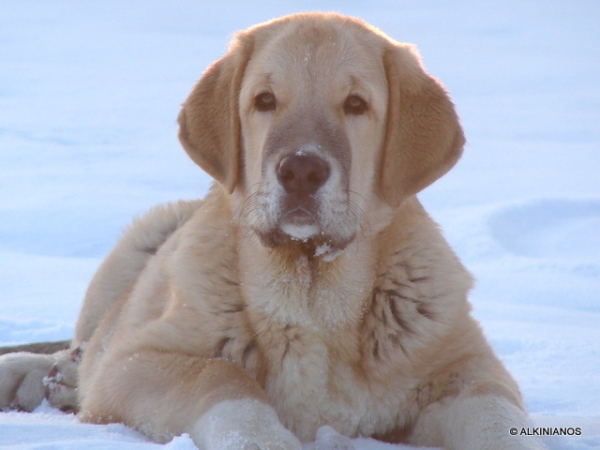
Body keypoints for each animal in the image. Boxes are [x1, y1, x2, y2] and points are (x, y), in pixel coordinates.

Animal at [1, 13, 544, 450]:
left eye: (356, 104)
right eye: (264, 100)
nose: (301, 170)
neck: (313, 297)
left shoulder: (468, 368)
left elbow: (495, 414)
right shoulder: (133, 363)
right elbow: (221, 375)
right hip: (142, 241)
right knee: (81, 344)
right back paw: (36, 375)